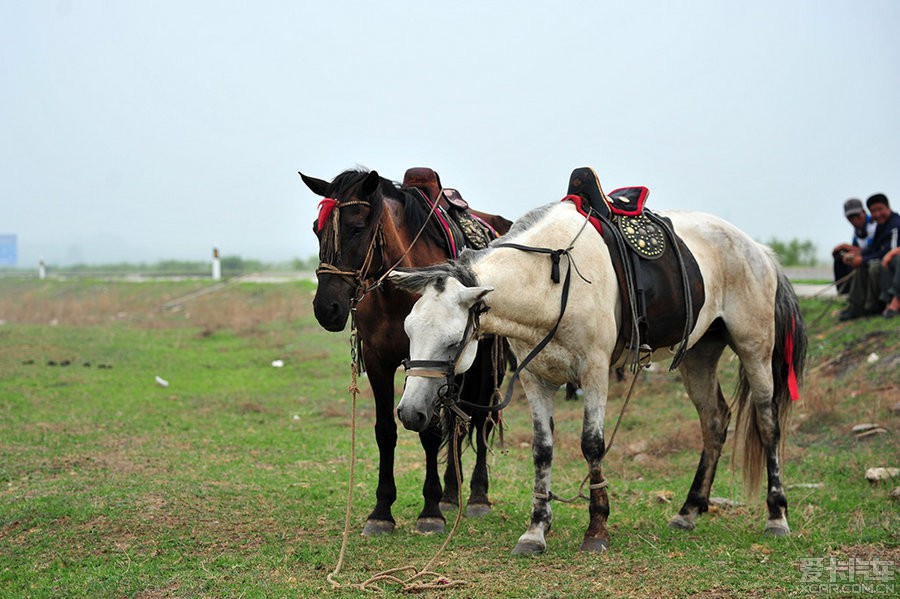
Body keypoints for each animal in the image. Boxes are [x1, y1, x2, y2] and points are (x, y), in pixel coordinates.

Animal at [300, 168, 512, 536]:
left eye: (357, 228)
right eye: (316, 229)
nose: (327, 308)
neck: (396, 295)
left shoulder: (430, 362)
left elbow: (430, 431)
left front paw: (430, 511)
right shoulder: (379, 361)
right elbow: (386, 430)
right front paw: (382, 511)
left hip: (486, 364)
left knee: (480, 420)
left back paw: (476, 496)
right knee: (457, 425)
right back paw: (451, 494)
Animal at [386, 202, 808, 556]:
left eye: (452, 341)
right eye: (408, 330)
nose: (409, 413)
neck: (552, 283)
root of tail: (759, 251)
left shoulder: (594, 373)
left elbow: (592, 445)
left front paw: (597, 529)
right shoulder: (535, 379)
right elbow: (542, 450)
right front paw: (536, 530)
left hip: (755, 350)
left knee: (768, 424)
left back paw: (776, 516)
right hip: (699, 356)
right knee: (715, 421)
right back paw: (689, 510)